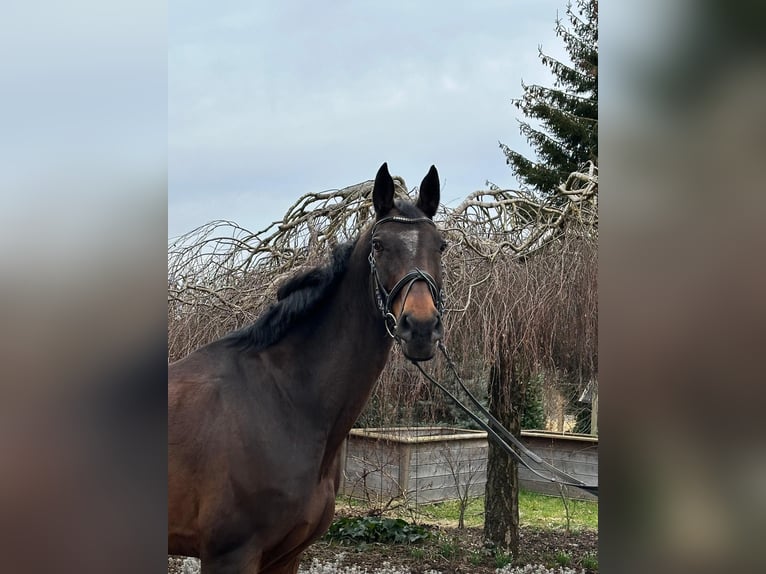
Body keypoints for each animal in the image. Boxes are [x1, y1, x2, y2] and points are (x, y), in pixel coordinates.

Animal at [168, 164, 444, 572]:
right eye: (379, 246)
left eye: (440, 246)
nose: (421, 328)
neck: (283, 399)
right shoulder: (230, 555)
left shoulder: (287, 556)